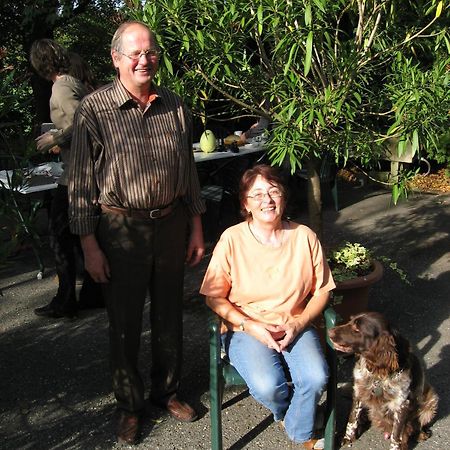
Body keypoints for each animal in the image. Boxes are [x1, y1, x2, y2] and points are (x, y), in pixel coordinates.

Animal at [328, 312, 438, 450]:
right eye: (350, 321)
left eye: (357, 329)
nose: (329, 331)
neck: (377, 375)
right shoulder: (358, 393)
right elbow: (352, 420)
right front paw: (347, 438)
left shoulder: (402, 405)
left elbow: (396, 436)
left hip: (432, 399)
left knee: (415, 425)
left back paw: (420, 434)